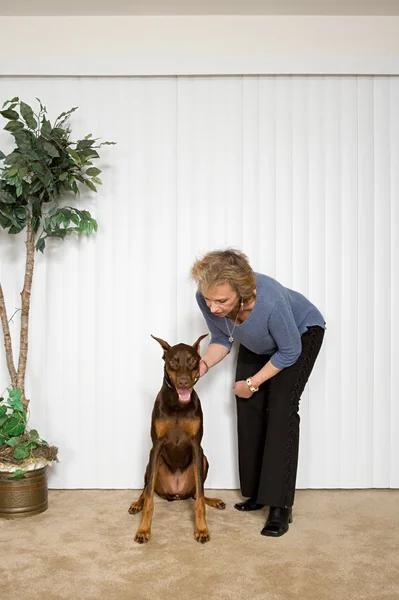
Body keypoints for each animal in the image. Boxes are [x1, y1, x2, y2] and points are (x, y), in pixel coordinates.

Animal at [130, 332, 227, 544]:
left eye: (192, 360)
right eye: (173, 361)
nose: (183, 382)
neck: (177, 405)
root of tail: (175, 494)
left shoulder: (197, 447)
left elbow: (200, 498)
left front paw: (201, 529)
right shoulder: (156, 446)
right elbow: (149, 498)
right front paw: (143, 530)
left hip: (204, 461)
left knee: (196, 494)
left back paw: (214, 500)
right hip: (151, 465)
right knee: (146, 489)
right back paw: (136, 503)